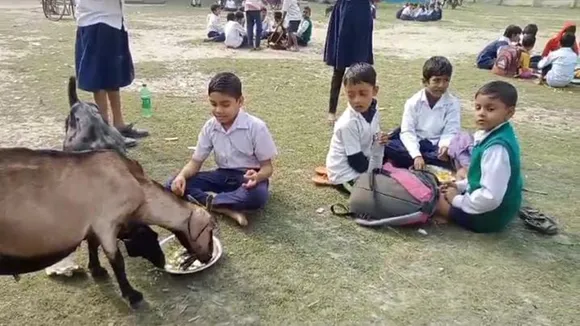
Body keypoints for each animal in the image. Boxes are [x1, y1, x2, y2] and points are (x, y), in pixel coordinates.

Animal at [0, 148, 215, 306]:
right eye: (210, 229)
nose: (208, 257)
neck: (138, 187)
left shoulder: (95, 225)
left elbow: (92, 244)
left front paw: (96, 269)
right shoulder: (106, 223)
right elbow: (117, 261)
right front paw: (132, 295)